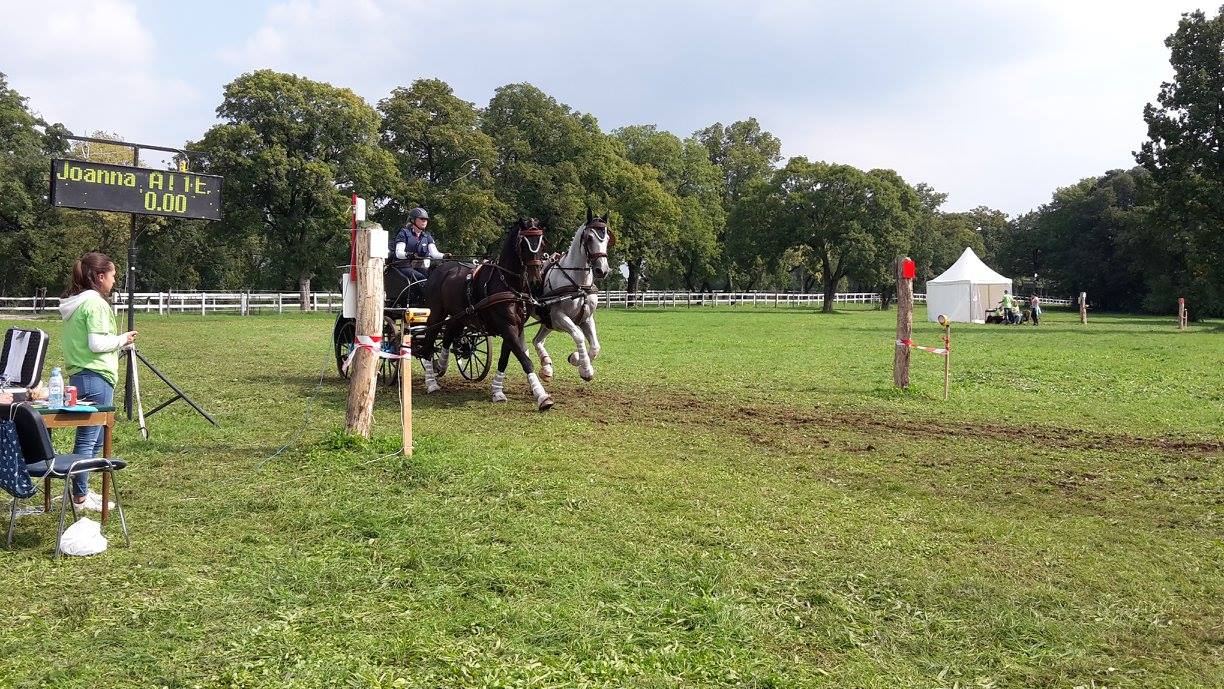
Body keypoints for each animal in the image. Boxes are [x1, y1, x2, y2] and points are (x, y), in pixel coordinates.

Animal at [421, 220, 555, 408]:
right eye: (523, 244)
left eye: (543, 244)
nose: (535, 280)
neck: (509, 285)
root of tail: (439, 270)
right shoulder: (508, 327)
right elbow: (525, 360)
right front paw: (542, 396)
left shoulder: (516, 328)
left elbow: (504, 360)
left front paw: (497, 391)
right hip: (435, 315)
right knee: (428, 343)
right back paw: (431, 382)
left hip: (460, 316)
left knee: (447, 336)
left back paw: (440, 365)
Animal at [536, 210, 612, 381]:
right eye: (589, 238)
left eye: (607, 239)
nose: (602, 270)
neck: (579, 285)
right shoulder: (559, 316)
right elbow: (578, 336)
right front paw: (585, 368)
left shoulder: (586, 318)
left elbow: (595, 346)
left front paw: (576, 359)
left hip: (546, 321)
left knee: (537, 341)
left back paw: (546, 368)